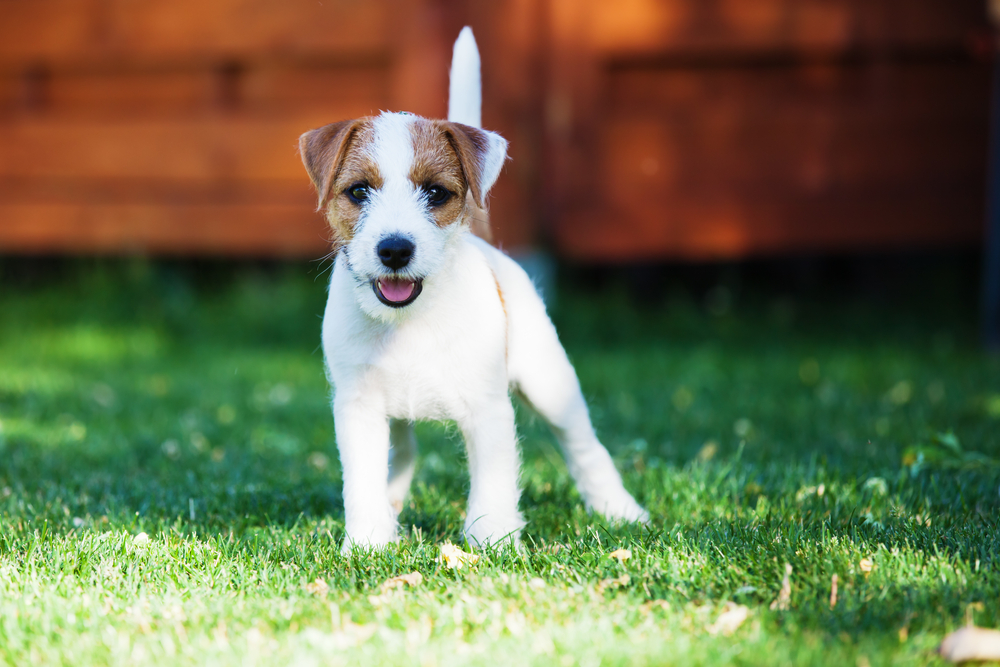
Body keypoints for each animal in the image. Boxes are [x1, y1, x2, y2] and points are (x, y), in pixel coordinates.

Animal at [296, 26, 648, 552]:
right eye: (358, 191)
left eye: (435, 192)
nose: (394, 249)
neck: (410, 321)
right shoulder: (358, 407)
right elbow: (362, 480)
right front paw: (368, 542)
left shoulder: (488, 410)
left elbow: (494, 484)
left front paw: (493, 541)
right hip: (395, 417)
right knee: (401, 453)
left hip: (550, 381)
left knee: (584, 444)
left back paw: (619, 509)